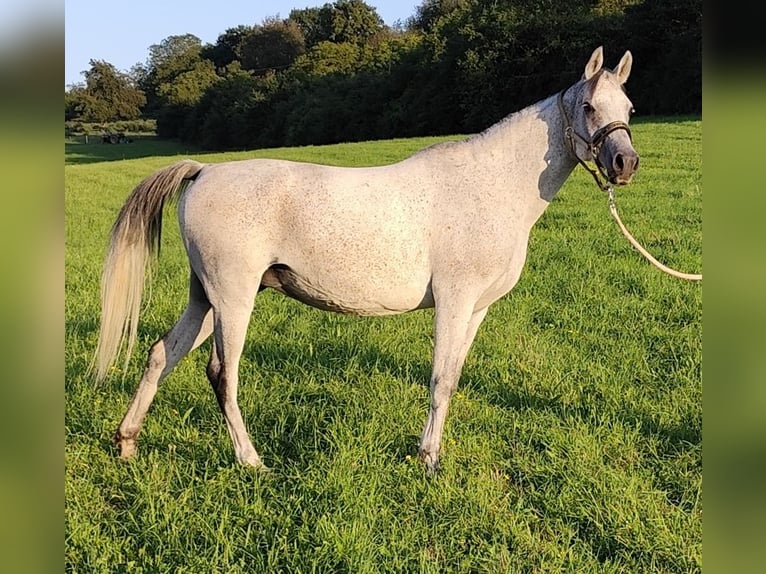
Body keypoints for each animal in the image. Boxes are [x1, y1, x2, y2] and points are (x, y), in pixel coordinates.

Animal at [97, 47, 640, 472]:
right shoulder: (455, 301)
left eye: (630, 108)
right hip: (233, 299)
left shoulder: (477, 309)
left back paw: (127, 442)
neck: (490, 184)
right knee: (222, 373)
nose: (625, 163)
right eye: (588, 106)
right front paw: (427, 460)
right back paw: (251, 460)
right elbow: (440, 379)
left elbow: (453, 377)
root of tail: (204, 171)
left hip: (206, 298)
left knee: (162, 353)